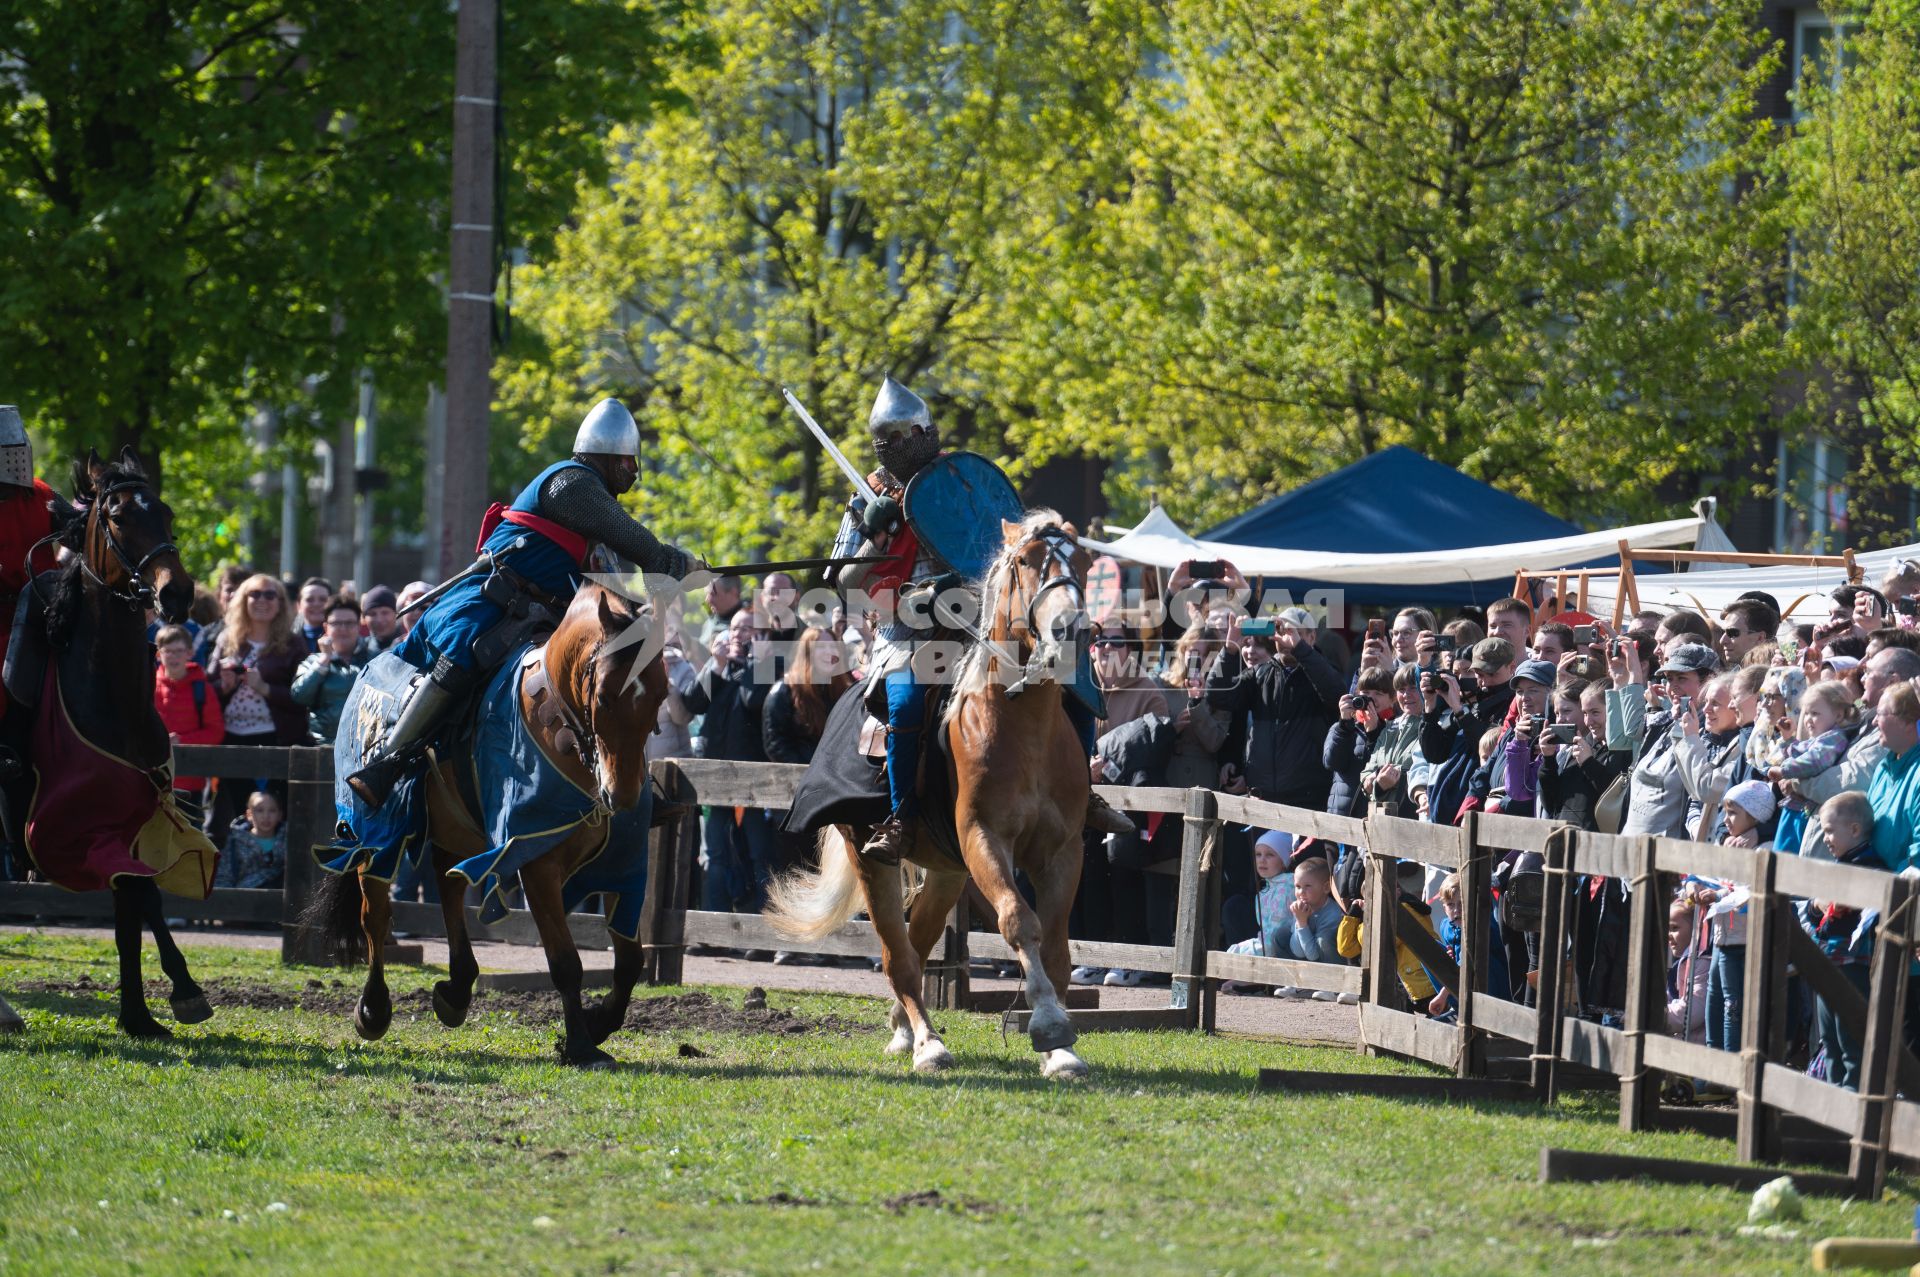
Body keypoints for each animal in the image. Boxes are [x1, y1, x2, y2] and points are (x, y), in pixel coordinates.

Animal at [311, 579, 672, 1067]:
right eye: (604, 697)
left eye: (660, 696)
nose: (623, 795)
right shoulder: (532, 860)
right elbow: (566, 963)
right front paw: (579, 1045)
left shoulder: (622, 866)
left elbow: (631, 963)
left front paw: (596, 1024)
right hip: (378, 832)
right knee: (376, 915)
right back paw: (374, 1008)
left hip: (455, 830)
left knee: (447, 887)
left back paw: (458, 989)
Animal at [764, 506, 1098, 1075]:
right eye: (1026, 562)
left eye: (1084, 563)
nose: (1069, 633)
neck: (1022, 725)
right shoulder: (985, 838)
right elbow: (1018, 922)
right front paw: (1049, 1024)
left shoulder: (1062, 853)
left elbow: (1055, 948)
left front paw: (1061, 1051)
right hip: (870, 855)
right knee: (898, 955)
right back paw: (926, 1043)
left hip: (947, 870)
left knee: (918, 945)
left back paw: (905, 1027)